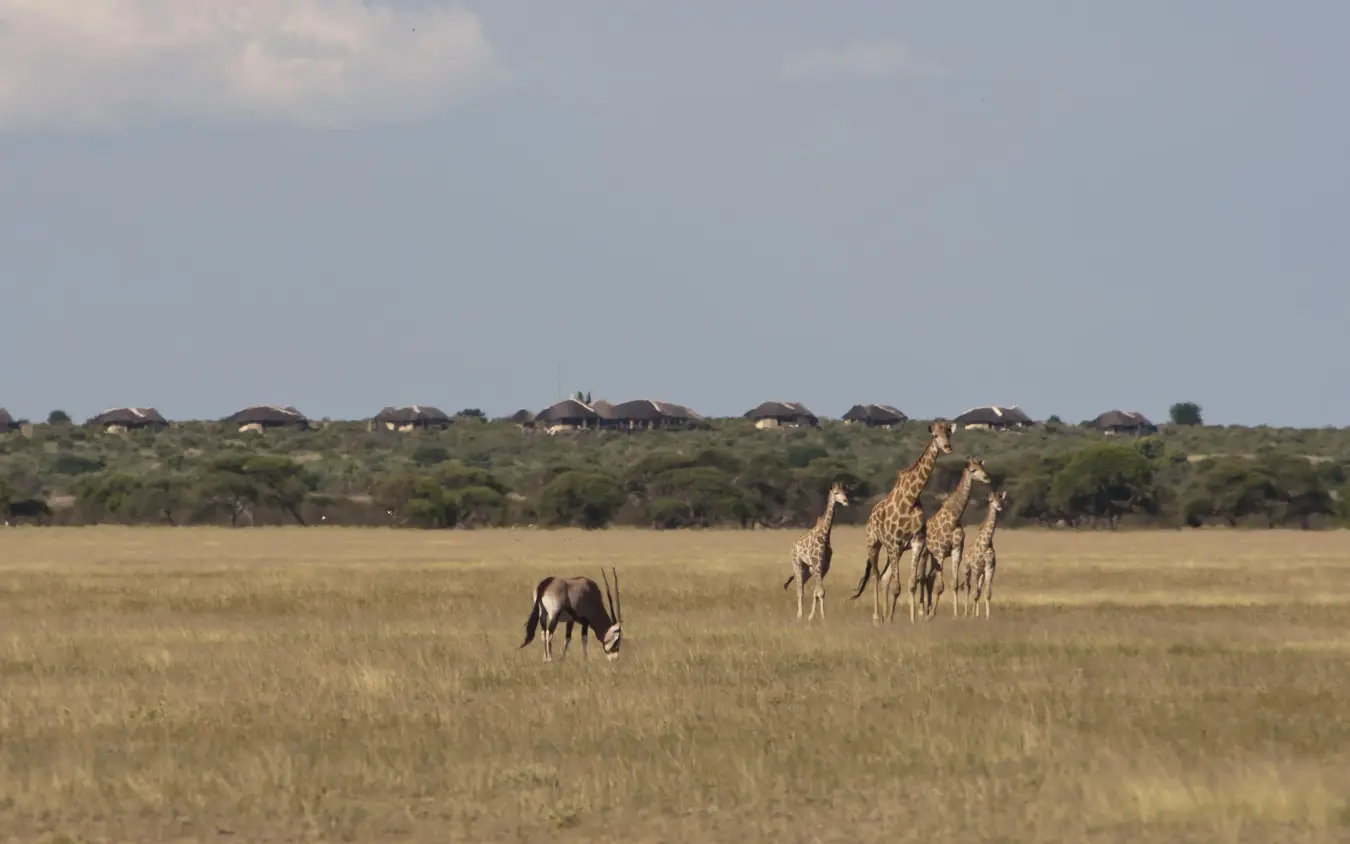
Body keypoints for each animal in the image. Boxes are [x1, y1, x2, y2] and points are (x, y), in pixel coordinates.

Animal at [781, 482, 850, 621]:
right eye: (836, 493)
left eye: (845, 492)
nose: (846, 501)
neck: (825, 535)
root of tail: (793, 546)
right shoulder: (817, 564)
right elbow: (821, 592)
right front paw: (823, 617)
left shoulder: (823, 567)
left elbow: (816, 593)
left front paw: (811, 616)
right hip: (797, 563)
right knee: (799, 589)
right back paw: (799, 615)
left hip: (808, 569)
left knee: (802, 586)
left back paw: (803, 614)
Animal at [848, 420, 954, 622]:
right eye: (935, 436)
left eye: (949, 434)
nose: (947, 447)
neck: (911, 499)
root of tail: (871, 514)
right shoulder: (894, 543)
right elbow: (897, 586)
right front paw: (890, 618)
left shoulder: (916, 543)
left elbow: (911, 583)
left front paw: (911, 619)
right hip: (874, 544)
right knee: (876, 575)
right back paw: (877, 617)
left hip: (894, 551)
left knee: (884, 577)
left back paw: (885, 616)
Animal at [882, 457, 991, 620]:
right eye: (973, 470)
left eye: (982, 468)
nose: (986, 478)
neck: (954, 518)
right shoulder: (939, 552)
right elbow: (940, 586)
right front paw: (931, 613)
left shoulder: (956, 550)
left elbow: (954, 583)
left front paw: (955, 614)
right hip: (924, 554)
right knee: (922, 578)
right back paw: (922, 611)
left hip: (930, 557)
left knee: (927, 579)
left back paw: (925, 610)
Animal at [964, 489, 1007, 619]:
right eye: (991, 500)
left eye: (1001, 499)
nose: (999, 506)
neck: (986, 543)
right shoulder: (975, 568)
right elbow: (975, 593)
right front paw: (972, 615)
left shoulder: (989, 568)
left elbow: (987, 593)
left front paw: (987, 616)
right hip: (967, 570)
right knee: (968, 589)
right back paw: (965, 612)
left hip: (981, 574)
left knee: (978, 589)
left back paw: (977, 613)